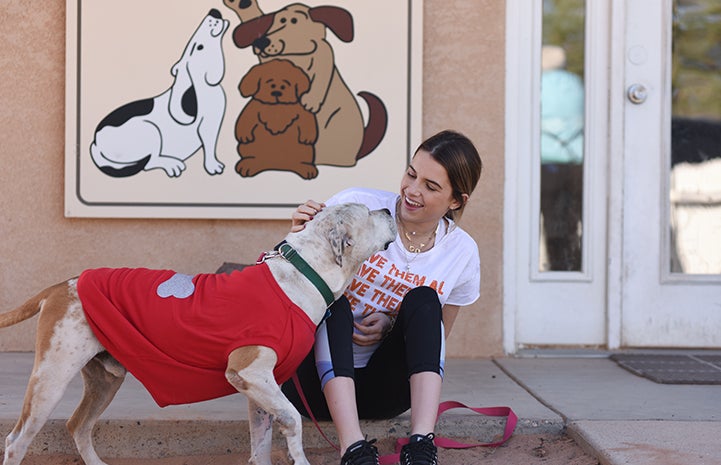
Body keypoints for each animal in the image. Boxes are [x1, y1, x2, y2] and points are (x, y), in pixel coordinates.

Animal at [0, 205, 396, 464]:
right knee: (17, 440)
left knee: (78, 426)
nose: (387, 208)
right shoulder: (248, 371)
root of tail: (61, 286)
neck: (303, 272)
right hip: (52, 376)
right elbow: (294, 420)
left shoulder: (260, 388)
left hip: (105, 379)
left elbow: (261, 444)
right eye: (367, 212)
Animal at [88, 10, 228, 178]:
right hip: (151, 131)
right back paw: (172, 165)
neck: (201, 87)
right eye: (199, 47)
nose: (214, 11)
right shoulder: (208, 125)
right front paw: (213, 167)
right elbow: (209, 146)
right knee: (150, 162)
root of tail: (96, 143)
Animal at [225, 0, 388, 167]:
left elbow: (322, 74)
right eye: (280, 20)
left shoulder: (325, 54)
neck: (296, 54)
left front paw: (311, 101)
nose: (261, 42)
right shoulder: (269, 61)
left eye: (294, 21)